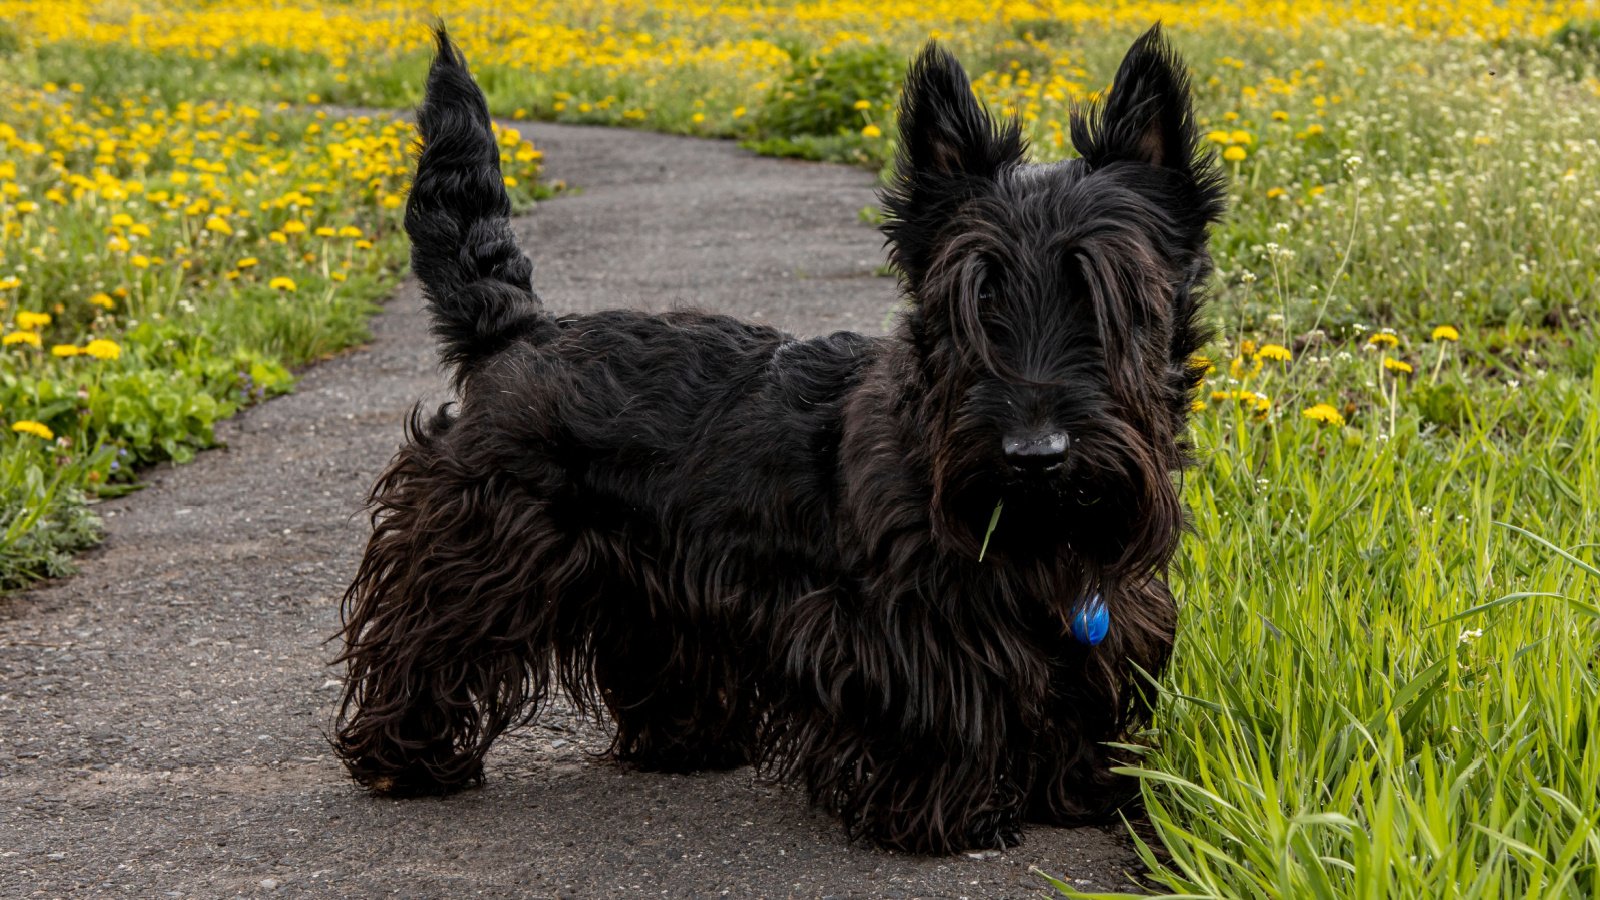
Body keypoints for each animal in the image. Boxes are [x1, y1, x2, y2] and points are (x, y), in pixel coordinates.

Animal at [331, 24, 1216, 851]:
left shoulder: (1100, 616)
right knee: (424, 639)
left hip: (639, 579)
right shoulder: (902, 628)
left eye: (1110, 295)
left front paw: (1086, 790)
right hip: (479, 546)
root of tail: (520, 331)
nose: (1035, 457)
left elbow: (1079, 702)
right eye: (975, 297)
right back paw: (405, 757)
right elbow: (945, 715)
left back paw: (687, 741)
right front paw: (946, 814)